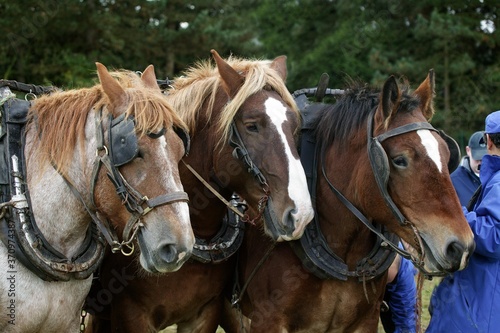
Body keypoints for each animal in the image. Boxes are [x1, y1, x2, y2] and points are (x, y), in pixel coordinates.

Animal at [221, 71, 474, 330]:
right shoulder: (268, 321)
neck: (345, 251)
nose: (460, 246)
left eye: (447, 153)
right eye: (400, 160)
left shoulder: (366, 321)